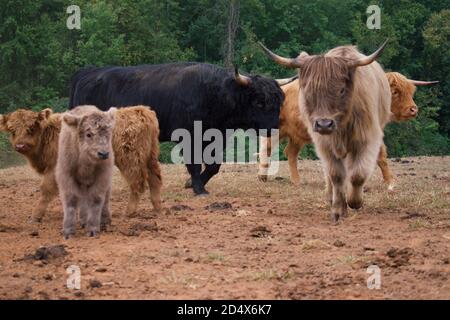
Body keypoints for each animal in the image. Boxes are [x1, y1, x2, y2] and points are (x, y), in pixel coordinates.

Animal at [68, 61, 284, 194]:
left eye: (278, 102)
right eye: (259, 102)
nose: (274, 127)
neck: (214, 93)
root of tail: (87, 73)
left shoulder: (215, 137)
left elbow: (213, 165)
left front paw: (193, 184)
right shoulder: (189, 137)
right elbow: (194, 163)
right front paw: (198, 188)